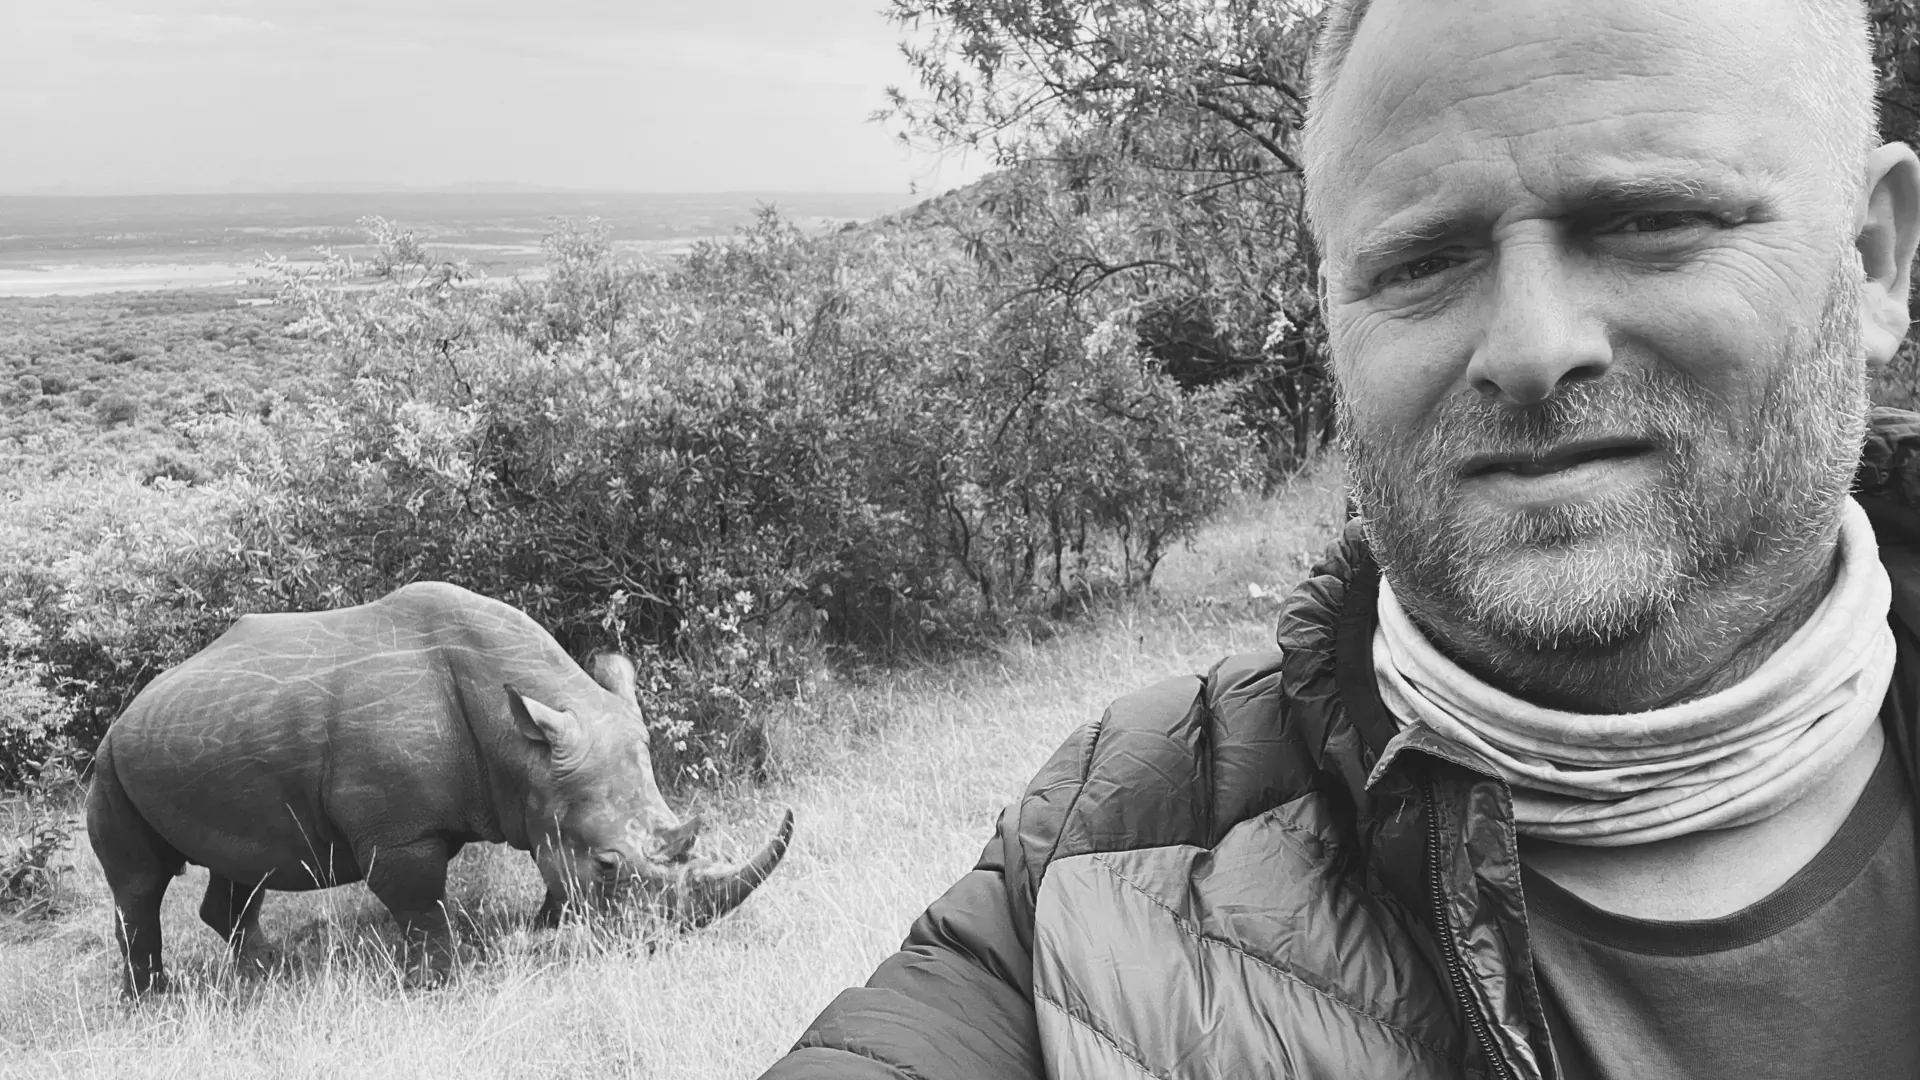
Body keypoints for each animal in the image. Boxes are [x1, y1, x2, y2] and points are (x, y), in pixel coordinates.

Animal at [86, 581, 792, 995]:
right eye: (609, 865)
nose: (653, 945)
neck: (522, 750)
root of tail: (130, 710)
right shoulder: (400, 835)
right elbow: (422, 906)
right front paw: (441, 984)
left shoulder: (545, 790)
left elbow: (547, 871)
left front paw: (543, 929)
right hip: (110, 765)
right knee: (141, 886)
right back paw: (156, 999)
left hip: (200, 741)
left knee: (243, 868)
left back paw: (268, 975)